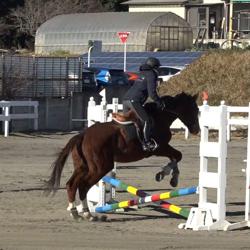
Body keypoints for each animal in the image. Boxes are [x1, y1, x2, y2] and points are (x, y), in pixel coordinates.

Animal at [44, 92, 199, 221]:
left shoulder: (163, 148)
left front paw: (172, 178)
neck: (161, 116)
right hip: (100, 168)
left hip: (83, 166)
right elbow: (178, 156)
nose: (196, 130)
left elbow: (175, 157)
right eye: (195, 110)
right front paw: (164, 175)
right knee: (83, 186)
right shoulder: (159, 148)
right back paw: (88, 214)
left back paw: (76, 212)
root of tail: (82, 135)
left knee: (71, 184)